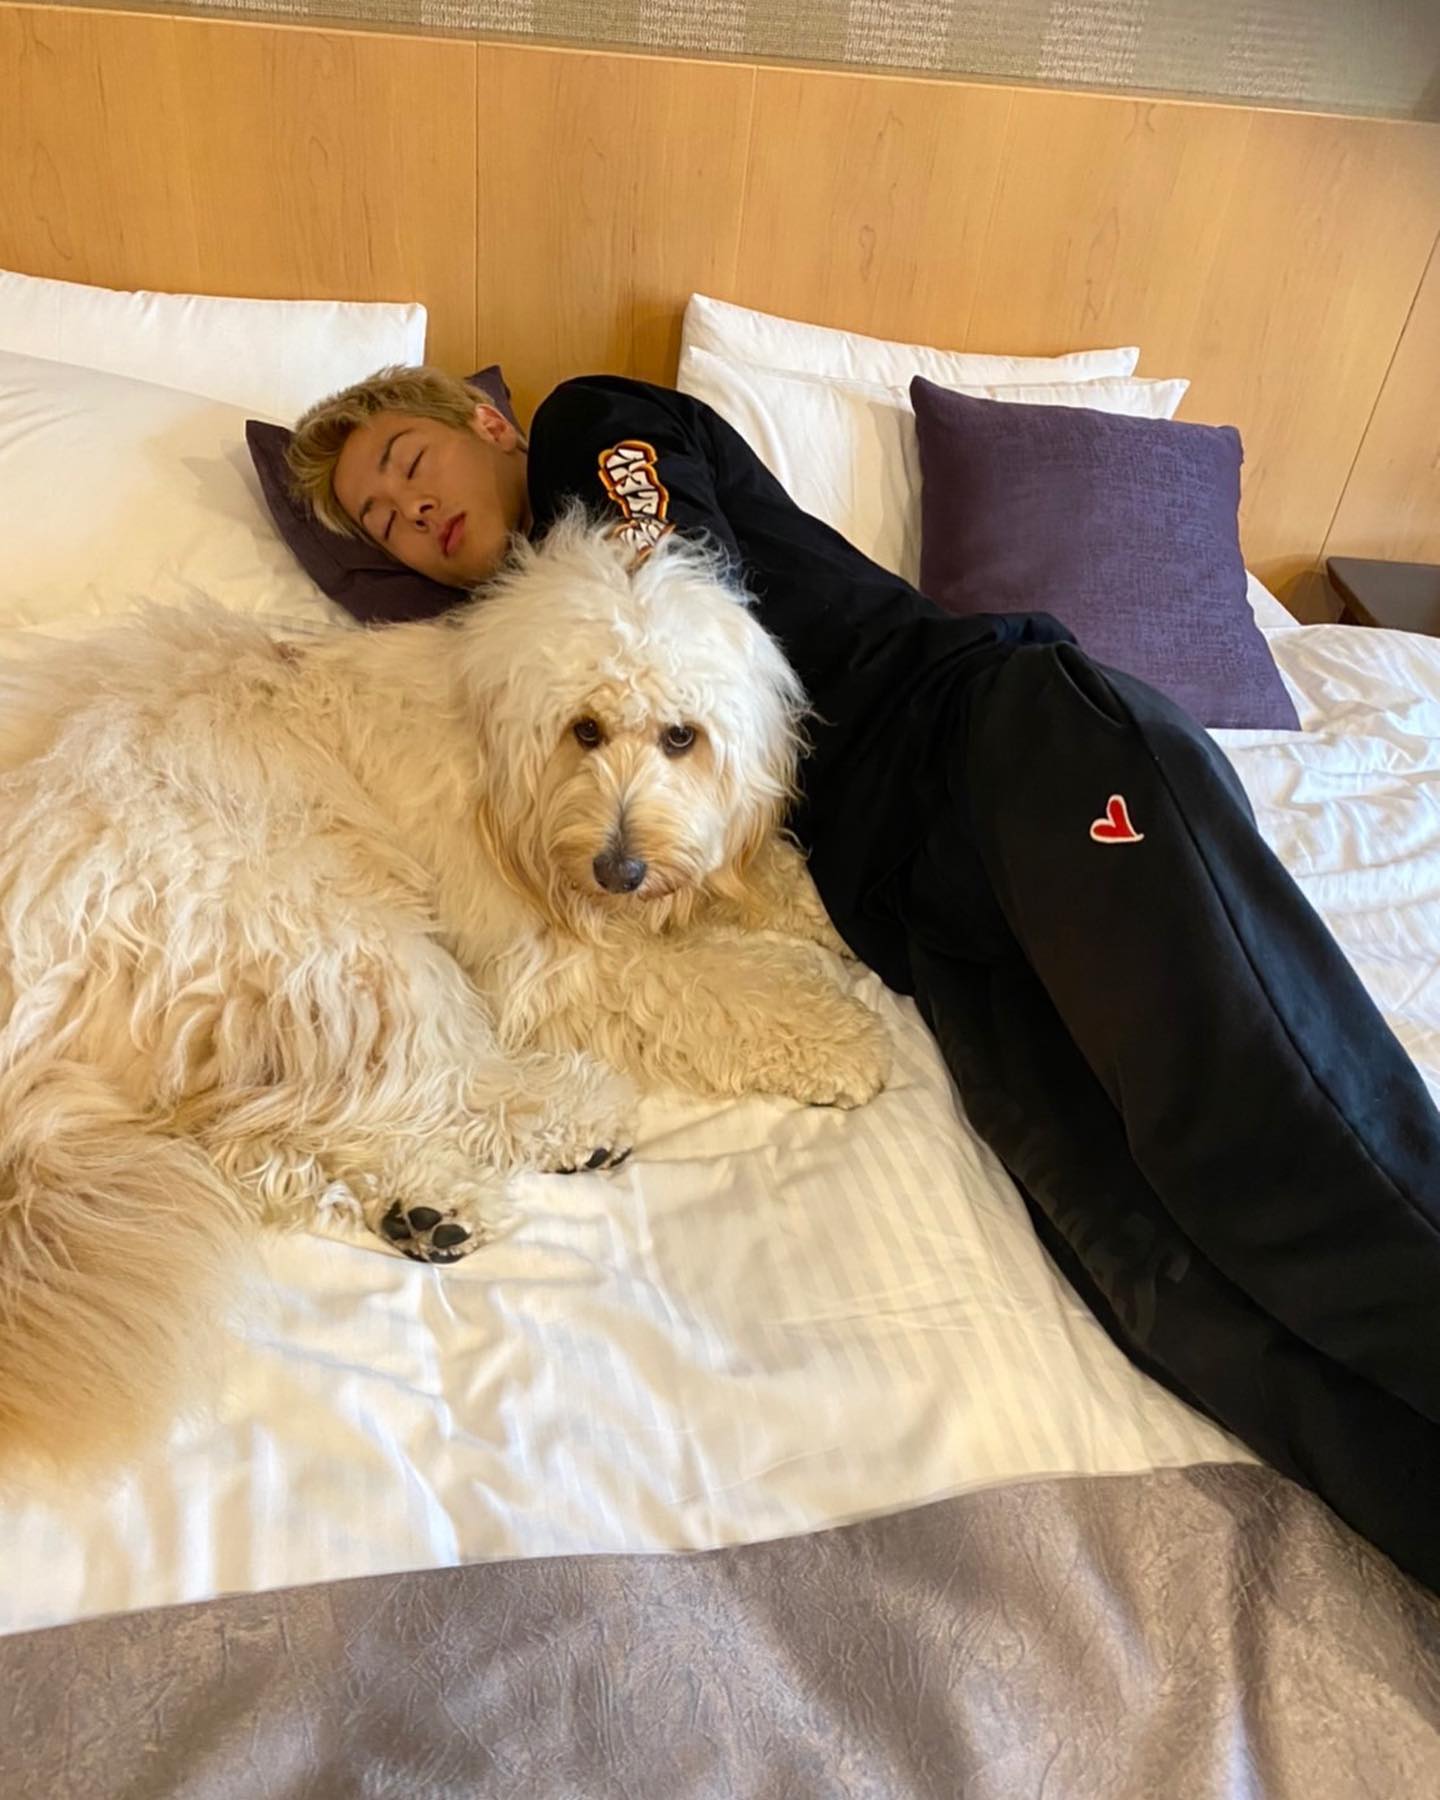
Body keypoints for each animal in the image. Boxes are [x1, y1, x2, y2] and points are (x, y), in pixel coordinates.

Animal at [0, 515, 890, 1467]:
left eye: (681, 737)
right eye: (584, 730)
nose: (619, 870)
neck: (500, 760)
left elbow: (764, 877)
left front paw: (814, 914)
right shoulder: (549, 961)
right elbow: (710, 986)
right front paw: (841, 1035)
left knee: (259, 1130)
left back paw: (423, 1209)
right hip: (328, 920)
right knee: (437, 1080)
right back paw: (559, 1128)